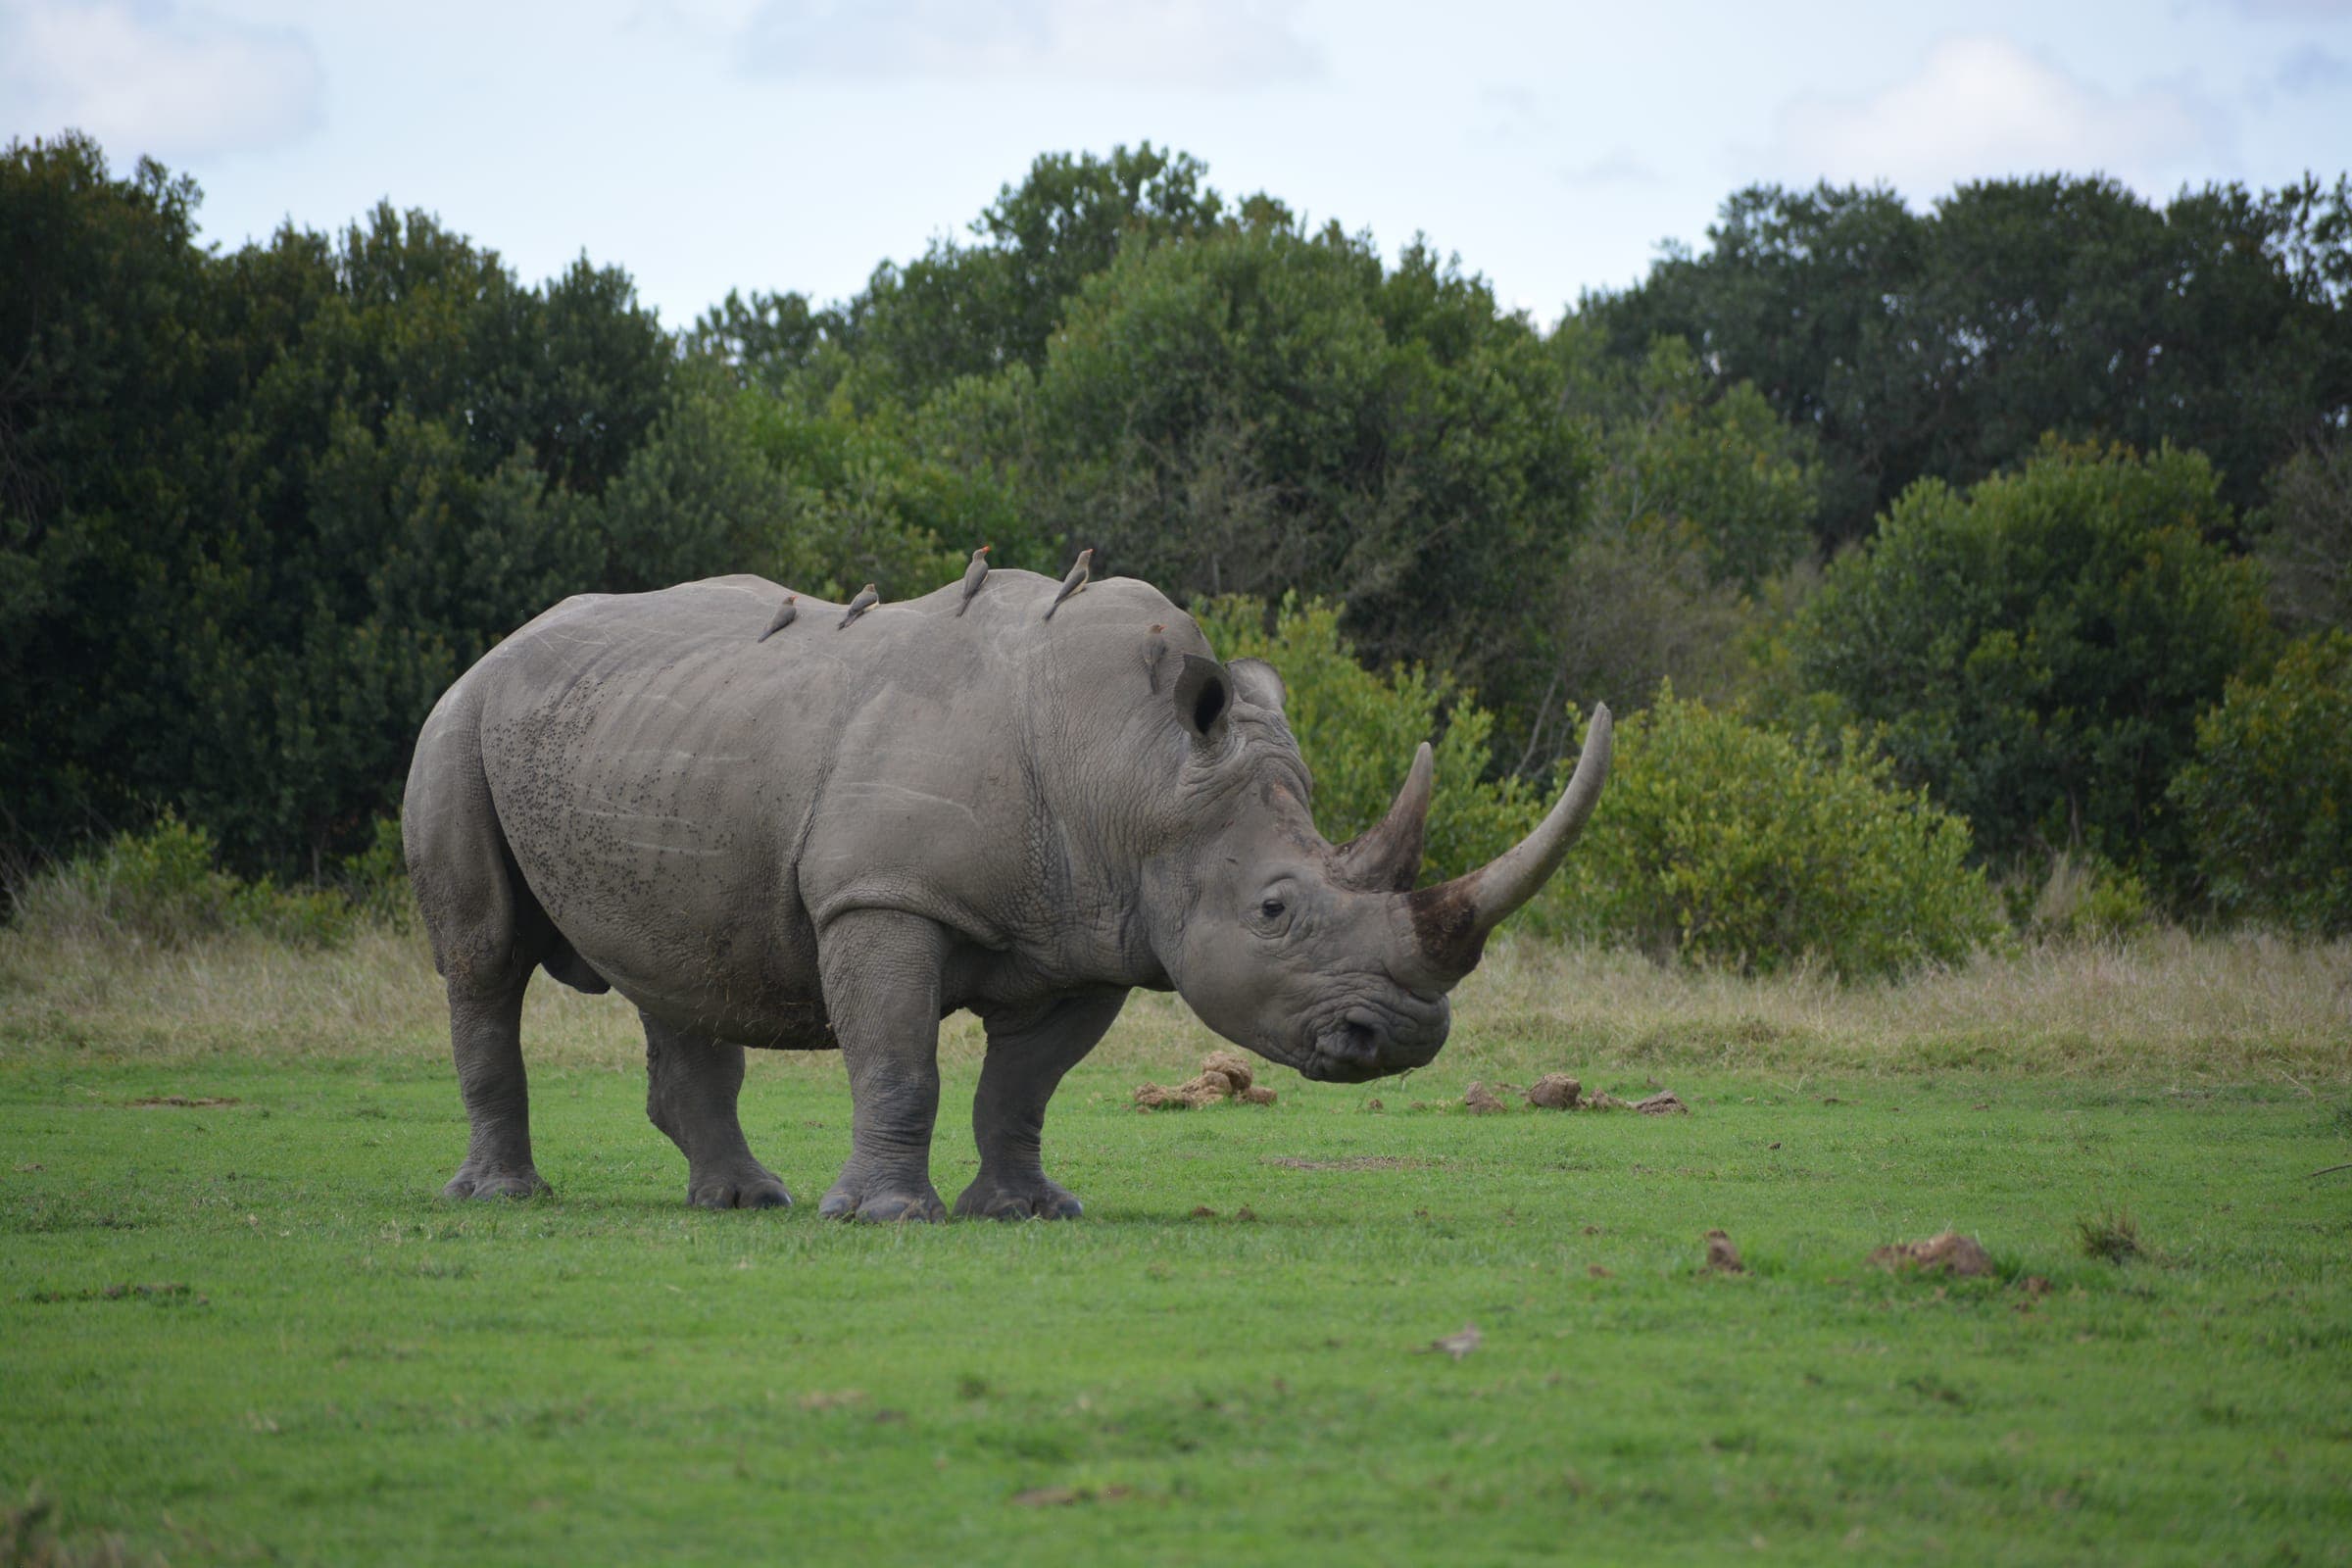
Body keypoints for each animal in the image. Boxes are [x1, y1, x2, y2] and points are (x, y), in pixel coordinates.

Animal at [403, 570, 1610, 1220]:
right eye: (1275, 911)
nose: (1401, 1037)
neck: (1135, 767)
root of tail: (500, 645)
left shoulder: (1094, 934)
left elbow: (1022, 1087)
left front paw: (1031, 1210)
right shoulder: (884, 895)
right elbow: (901, 1062)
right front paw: (887, 1218)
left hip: (656, 737)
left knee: (680, 961)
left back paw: (745, 1200)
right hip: (459, 720)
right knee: (483, 958)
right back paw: (504, 1199)